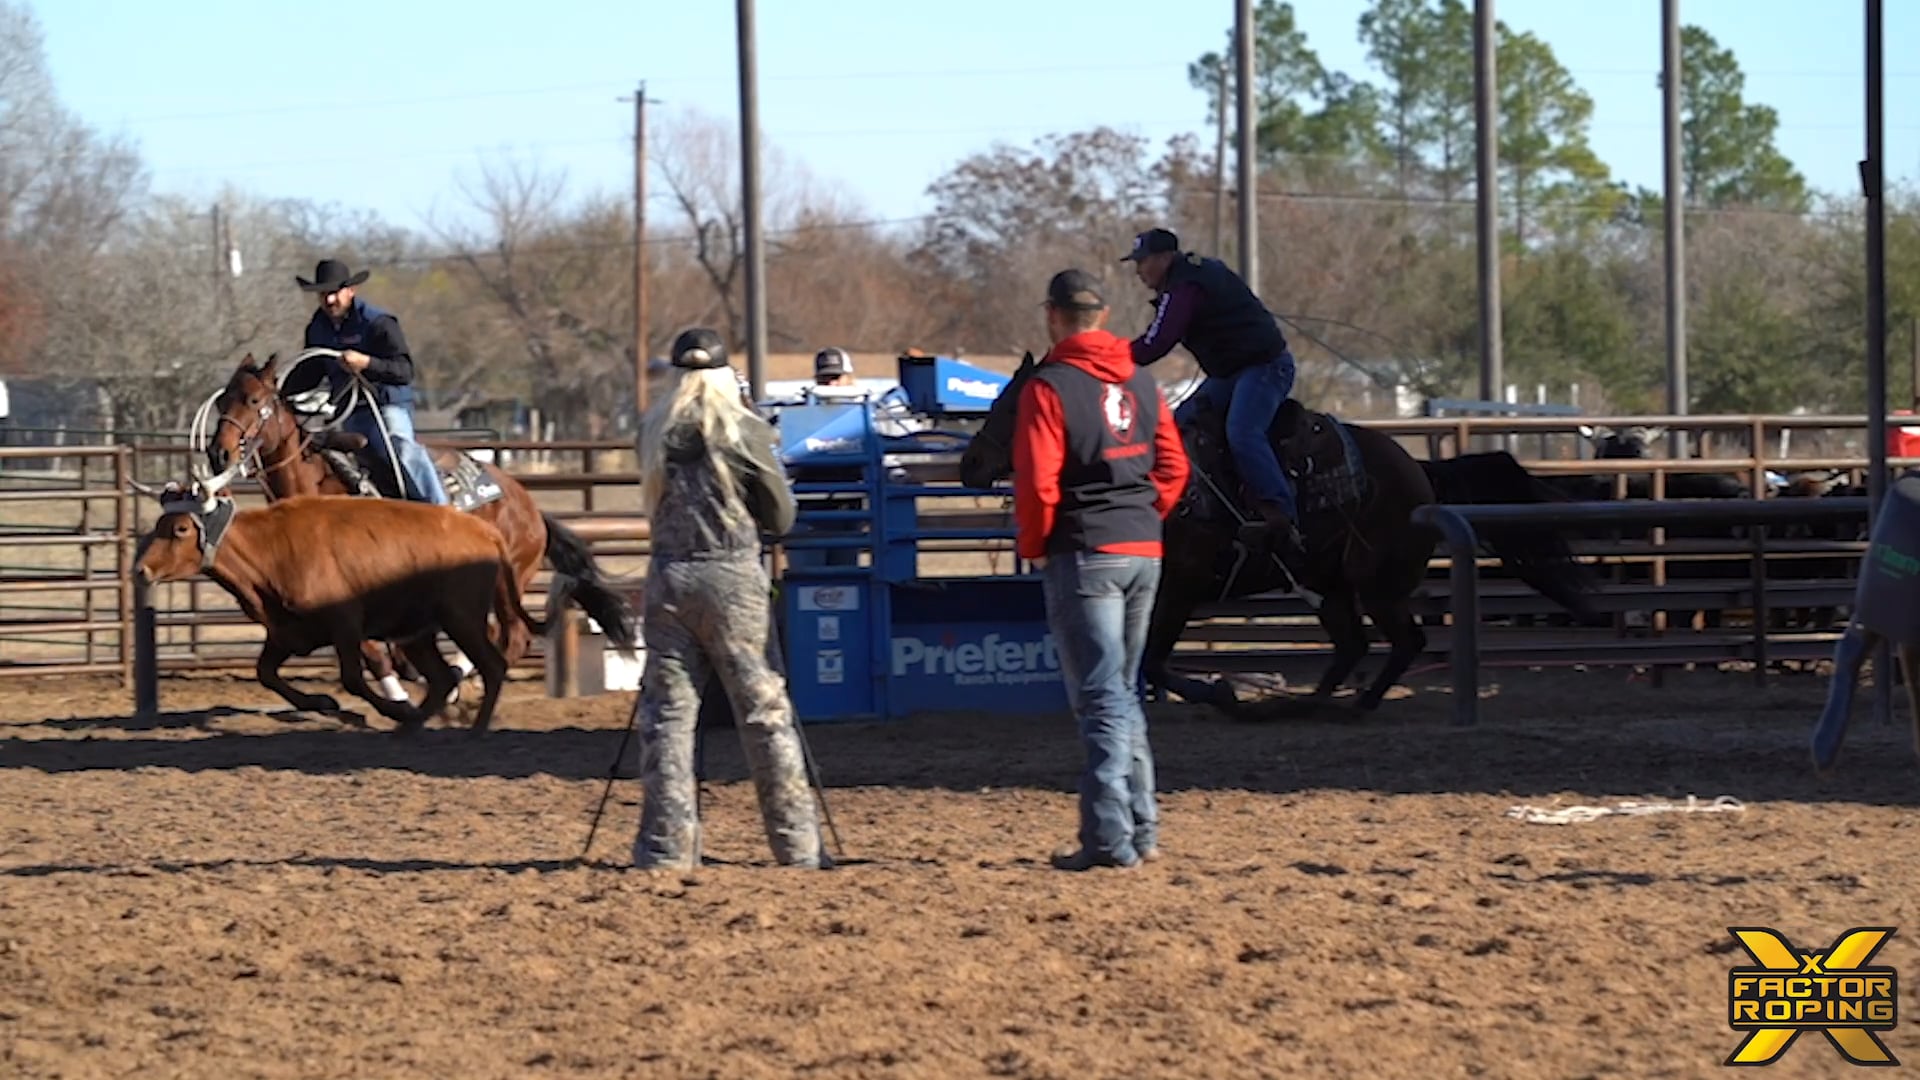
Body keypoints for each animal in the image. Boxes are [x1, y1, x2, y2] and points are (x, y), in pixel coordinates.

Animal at [208, 353, 637, 703]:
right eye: (223, 401)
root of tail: (528, 506)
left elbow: (370, 646)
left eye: (254, 401)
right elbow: (373, 648)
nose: (218, 453)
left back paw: (466, 686)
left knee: (512, 634)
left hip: (506, 576)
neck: (320, 488)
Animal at [960, 353, 1605, 714]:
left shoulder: (1179, 586)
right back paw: (1314, 701)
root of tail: (1422, 469)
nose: (970, 464)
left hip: (1377, 583)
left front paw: (1221, 694)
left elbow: (1157, 662)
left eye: (1014, 405)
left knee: (1404, 642)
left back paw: (1353, 704)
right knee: (1353, 646)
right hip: (1332, 585)